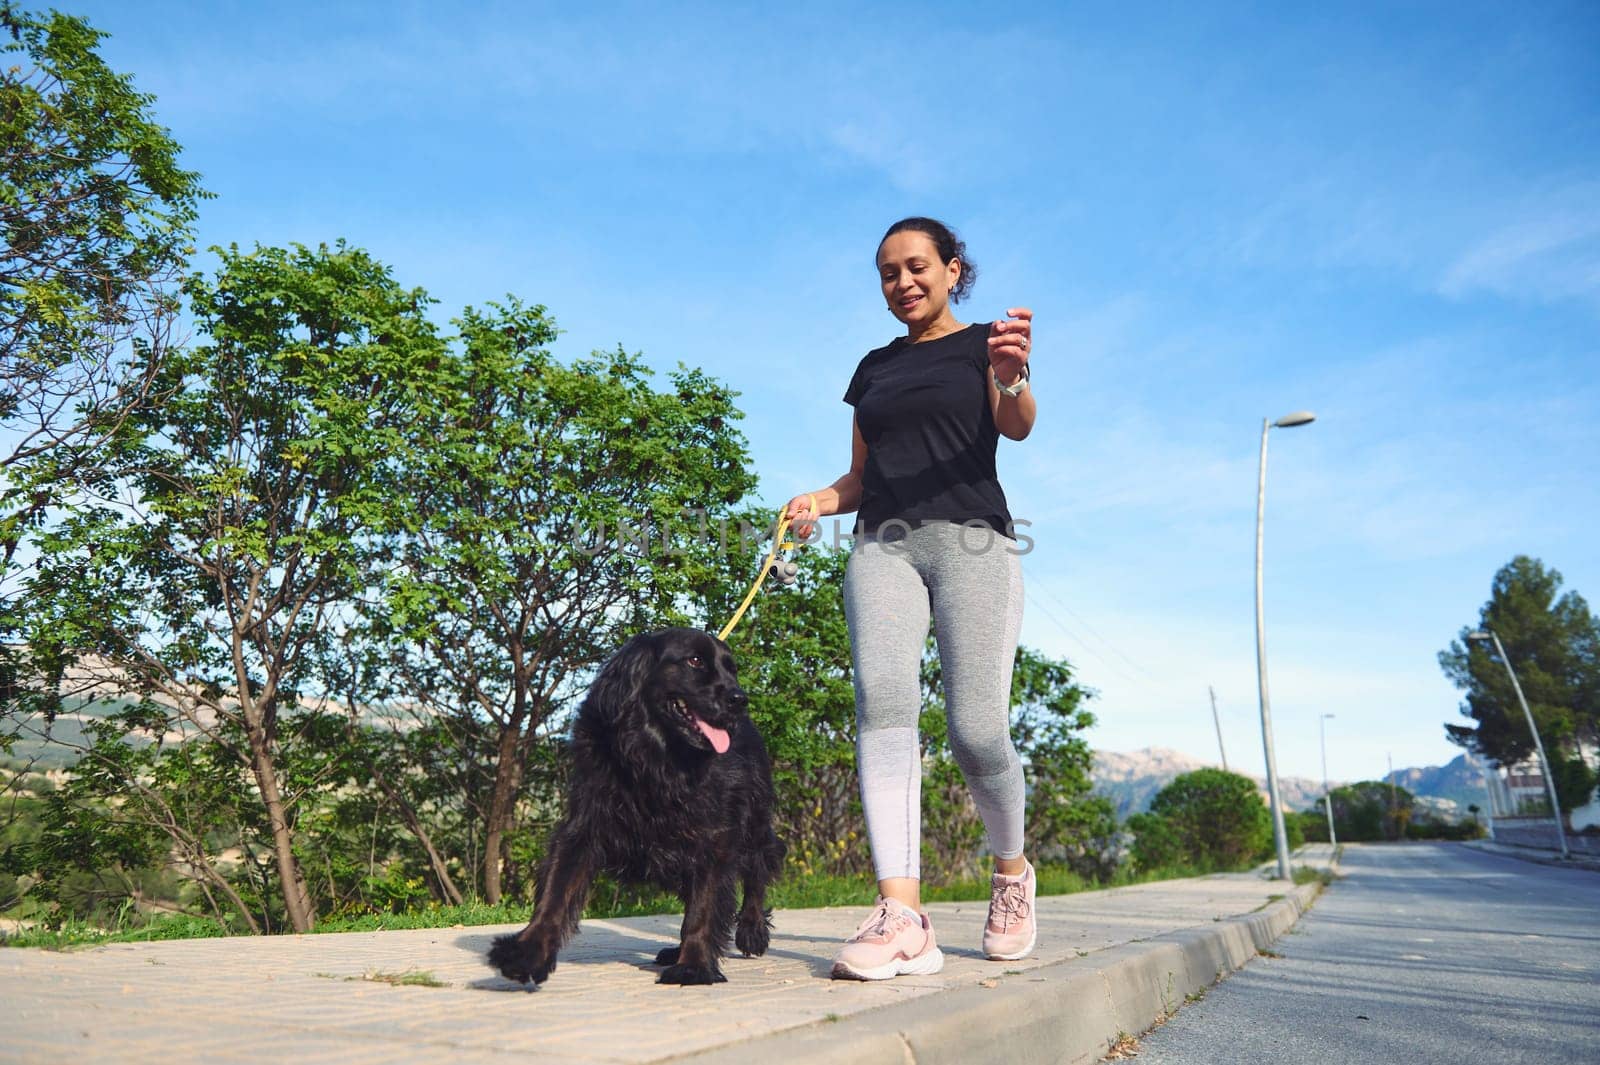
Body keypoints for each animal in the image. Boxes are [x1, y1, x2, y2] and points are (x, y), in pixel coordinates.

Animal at [486, 626, 787, 985]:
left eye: (733, 669)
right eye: (695, 661)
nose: (740, 700)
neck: (655, 756)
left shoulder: (714, 837)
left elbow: (703, 908)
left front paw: (694, 966)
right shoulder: (583, 826)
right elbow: (554, 896)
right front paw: (526, 955)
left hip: (753, 820)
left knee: (758, 871)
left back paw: (751, 931)